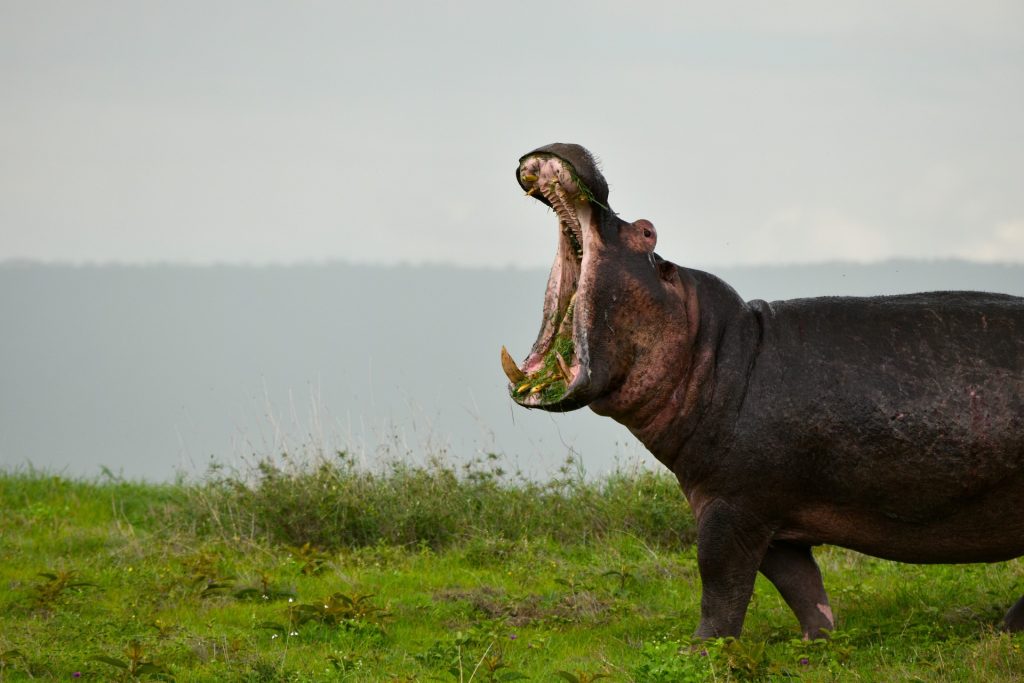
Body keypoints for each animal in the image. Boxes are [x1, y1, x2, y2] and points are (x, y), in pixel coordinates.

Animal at [500, 143, 1024, 639]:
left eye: (647, 231)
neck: (710, 351)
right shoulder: (769, 516)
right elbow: (799, 584)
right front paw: (817, 641)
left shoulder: (732, 506)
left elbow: (720, 580)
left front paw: (703, 648)